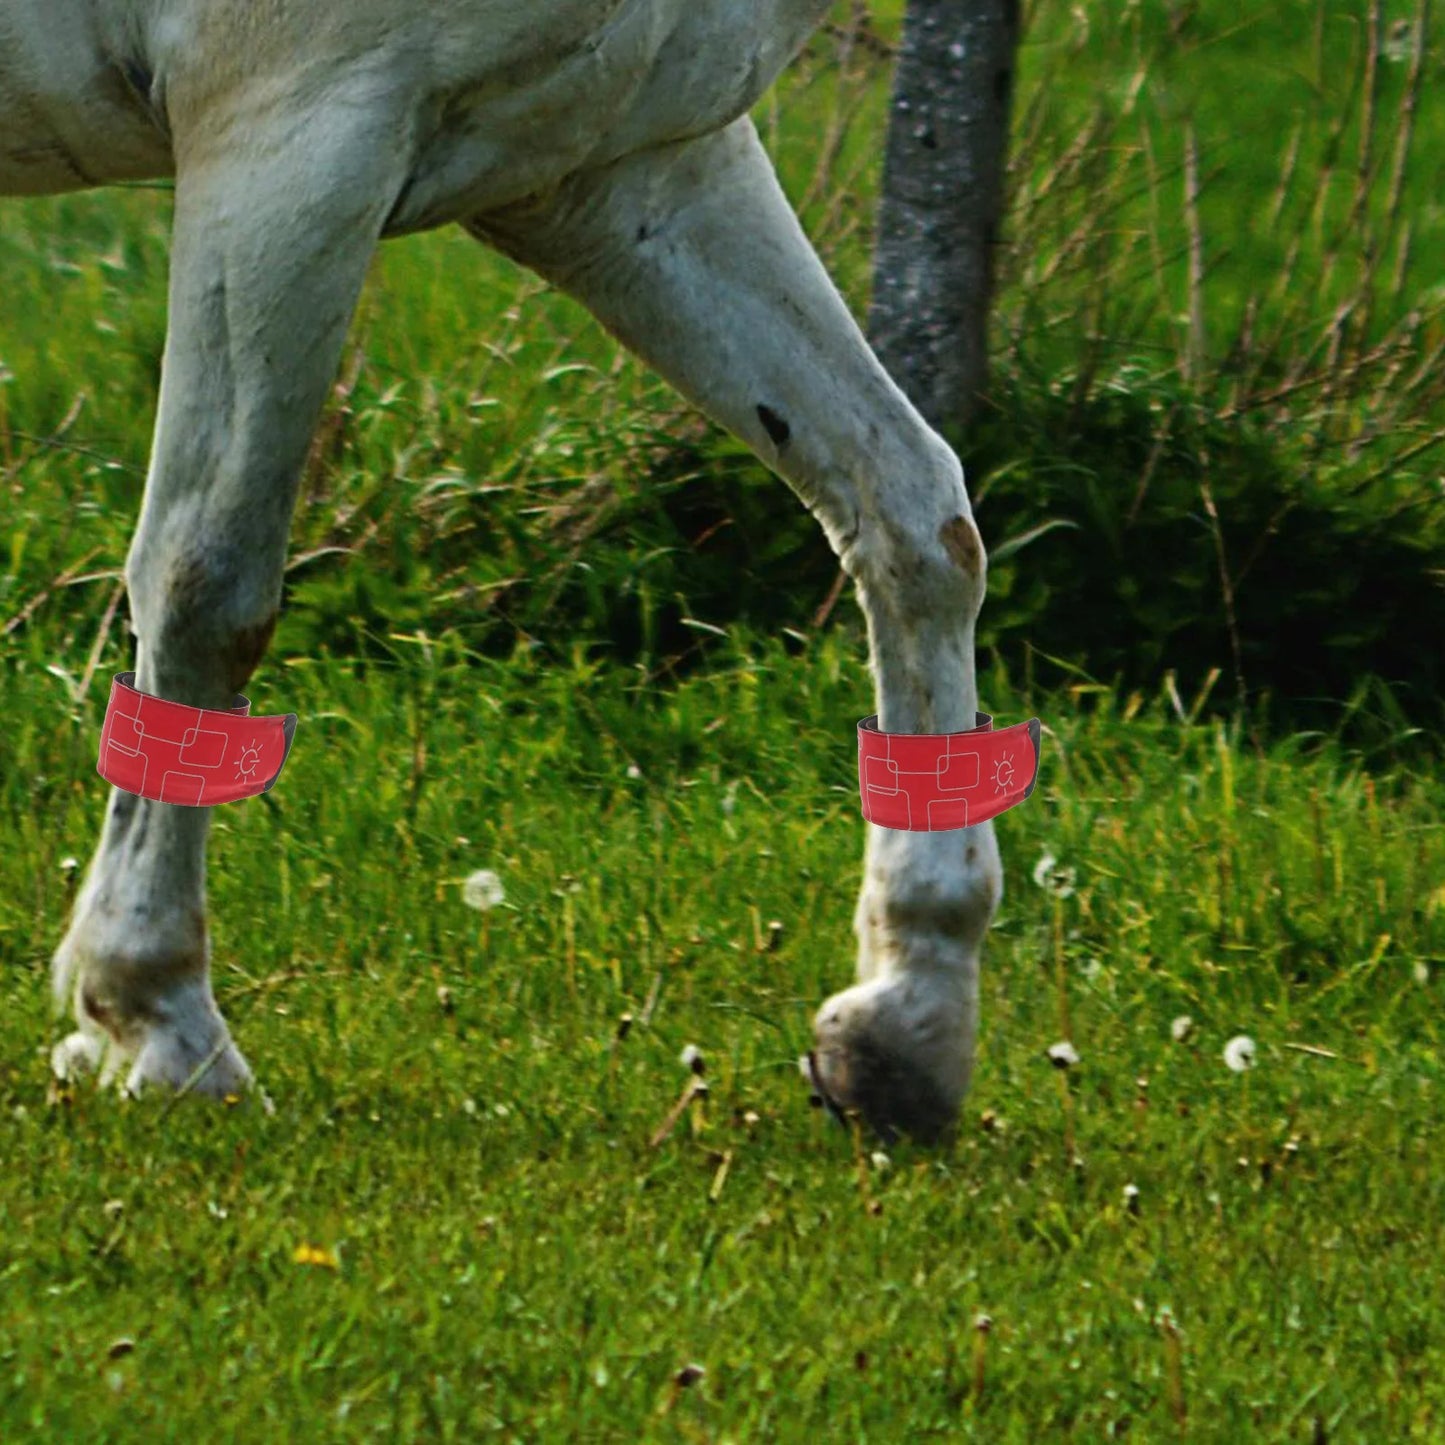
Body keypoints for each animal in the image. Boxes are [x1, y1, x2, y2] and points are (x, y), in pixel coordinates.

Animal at [4, 0, 1005, 1141]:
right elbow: (206, 586)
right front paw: (161, 1018)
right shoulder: (289, 141)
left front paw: (904, 1025)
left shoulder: (625, 170)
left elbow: (914, 516)